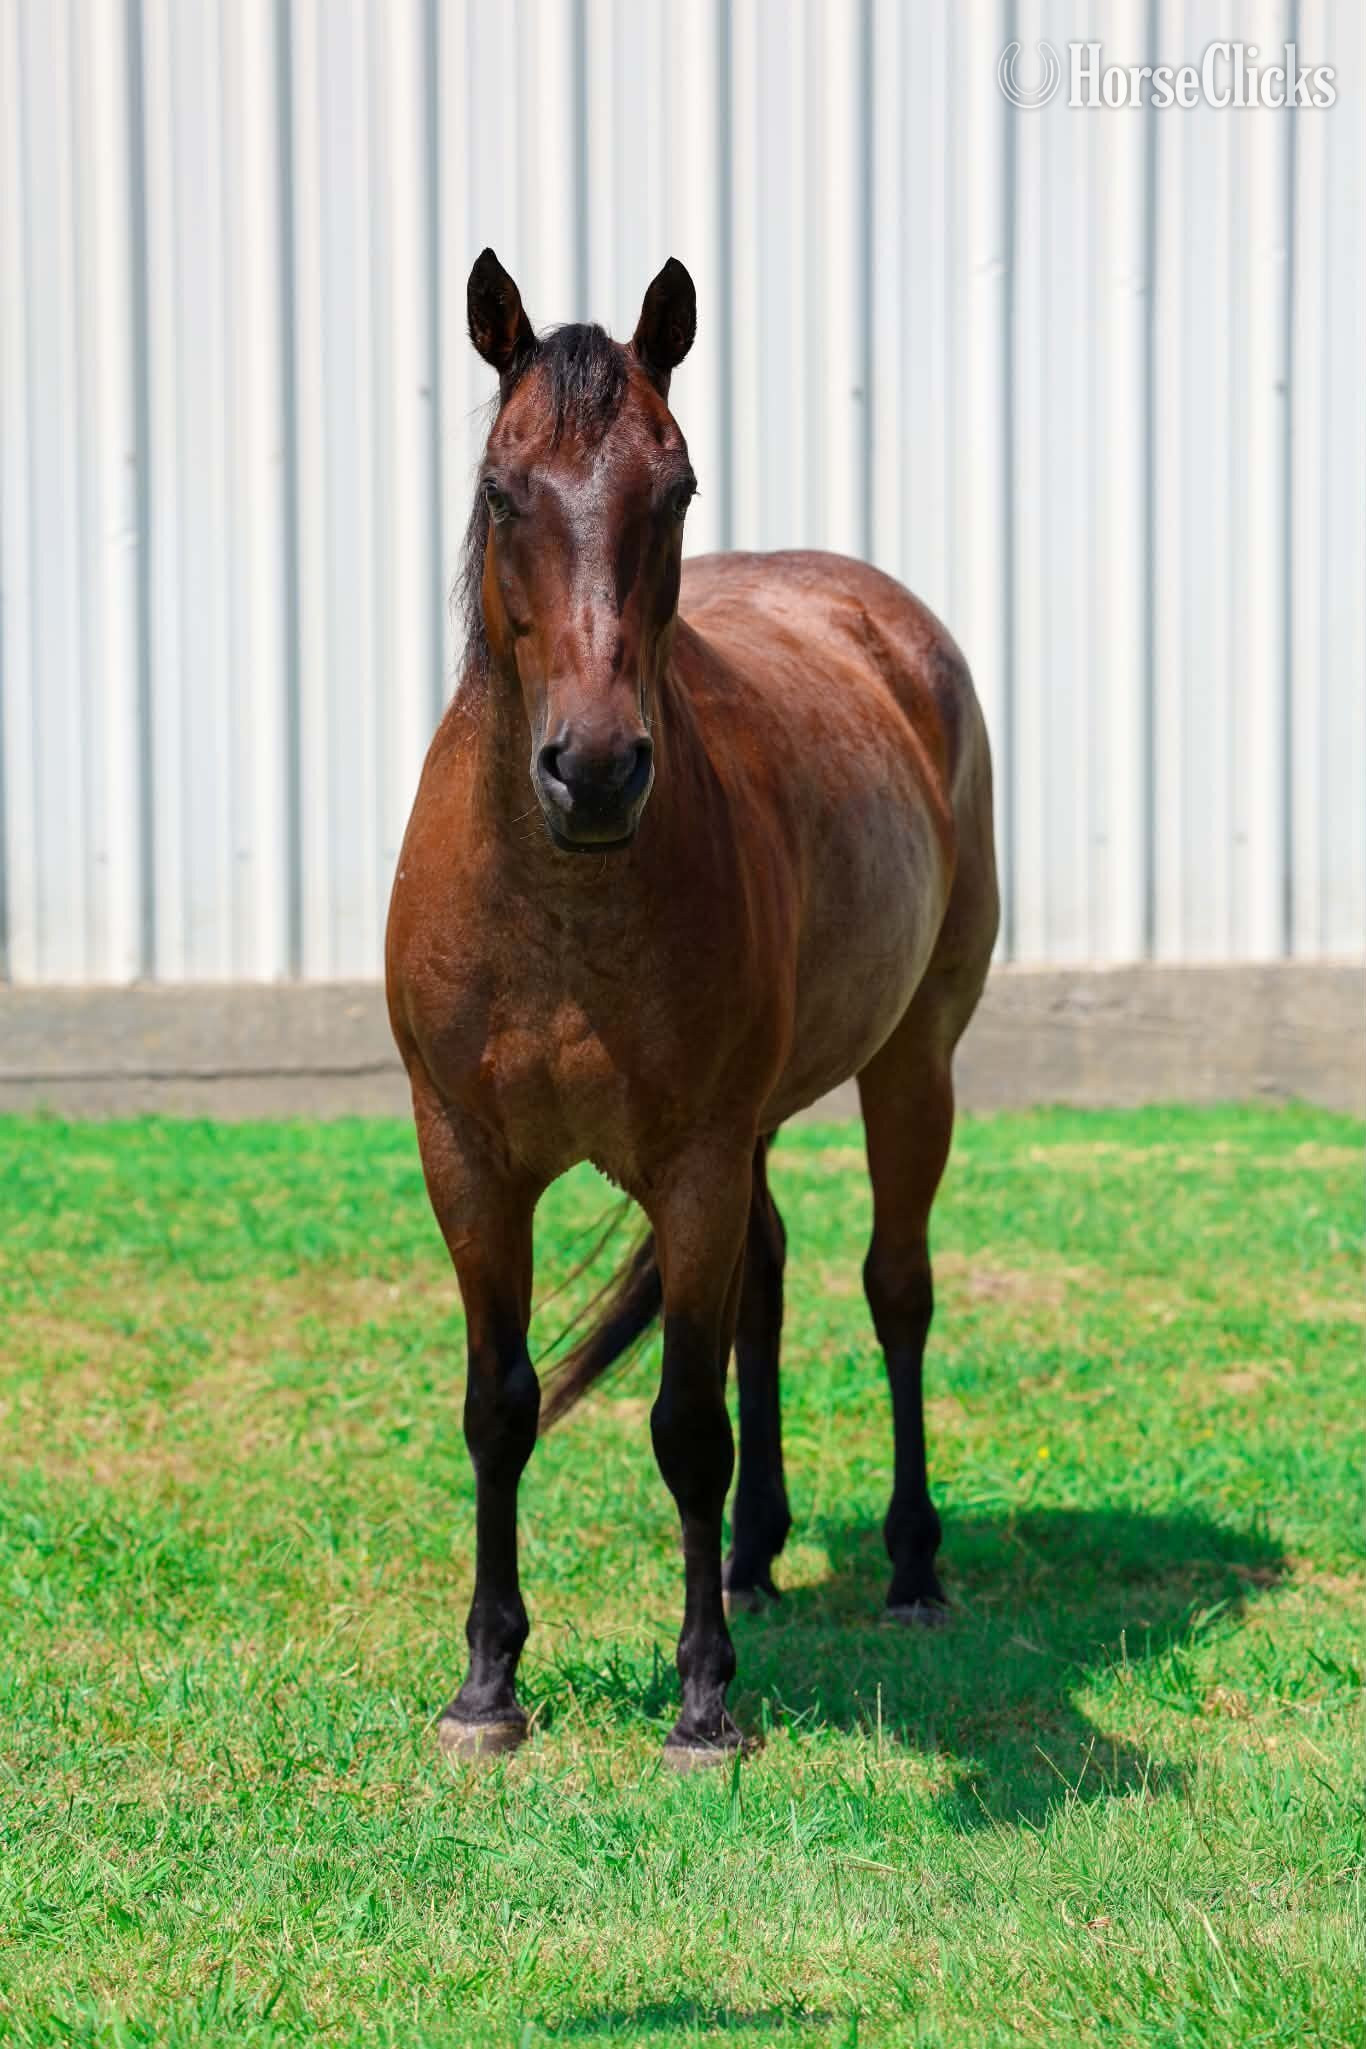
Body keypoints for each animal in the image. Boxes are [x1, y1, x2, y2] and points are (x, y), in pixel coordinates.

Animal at [385, 249, 999, 1768]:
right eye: (502, 490)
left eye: (675, 489)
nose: (596, 771)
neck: (560, 904)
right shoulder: (465, 1159)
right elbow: (499, 1406)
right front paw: (486, 1685)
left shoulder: (696, 1159)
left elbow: (684, 1426)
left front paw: (705, 1701)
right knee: (768, 1282)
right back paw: (756, 1554)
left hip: (913, 1062)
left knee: (894, 1290)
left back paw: (909, 1566)